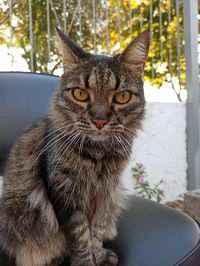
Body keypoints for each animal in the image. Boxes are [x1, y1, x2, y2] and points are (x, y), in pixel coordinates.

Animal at [0, 27, 149, 266]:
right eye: (80, 94)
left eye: (122, 96)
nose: (99, 120)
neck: (97, 157)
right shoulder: (65, 196)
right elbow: (80, 238)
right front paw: (86, 262)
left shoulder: (106, 193)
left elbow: (97, 231)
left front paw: (99, 256)